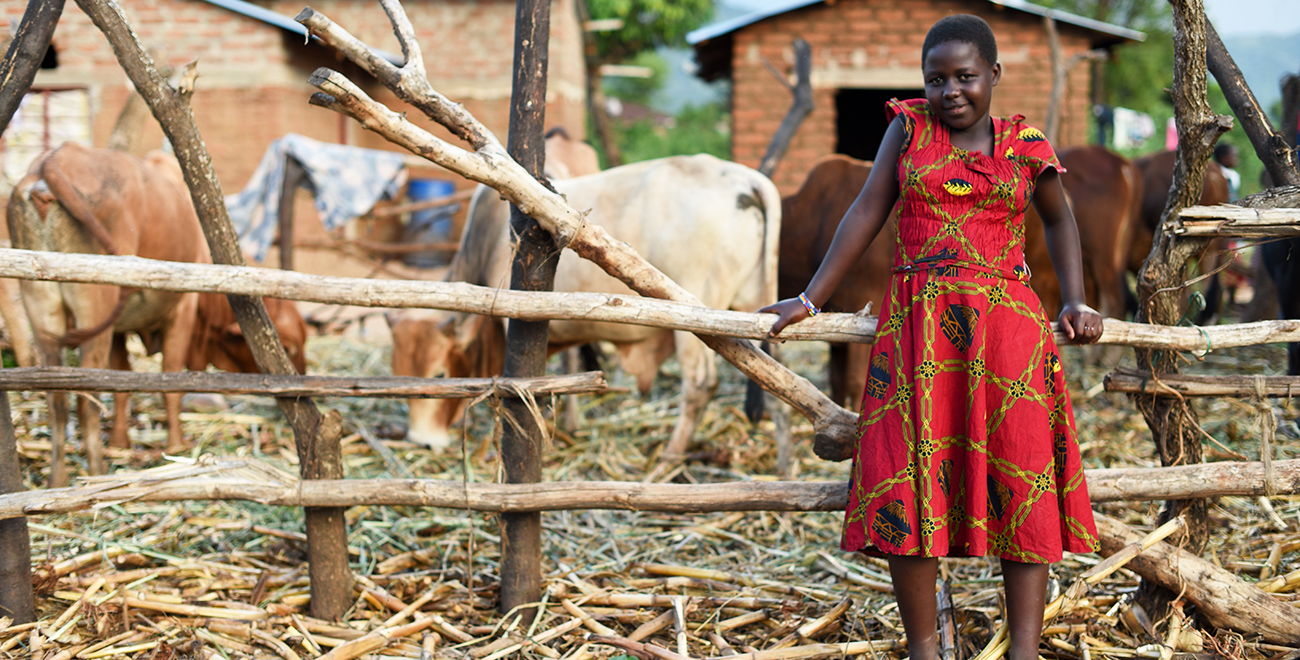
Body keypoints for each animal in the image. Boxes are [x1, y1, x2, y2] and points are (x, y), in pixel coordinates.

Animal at [6, 142, 208, 485]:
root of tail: (54, 160)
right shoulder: (183, 308)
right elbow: (170, 379)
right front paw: (176, 444)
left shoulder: (117, 329)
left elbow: (121, 380)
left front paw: (119, 441)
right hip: (95, 313)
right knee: (85, 400)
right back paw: (97, 473)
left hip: (45, 314)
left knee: (57, 400)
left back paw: (59, 480)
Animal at [390, 153, 780, 459]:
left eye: (440, 374)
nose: (421, 441)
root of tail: (747, 180)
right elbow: (568, 367)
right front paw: (571, 424)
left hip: (695, 322)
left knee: (700, 385)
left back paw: (670, 455)